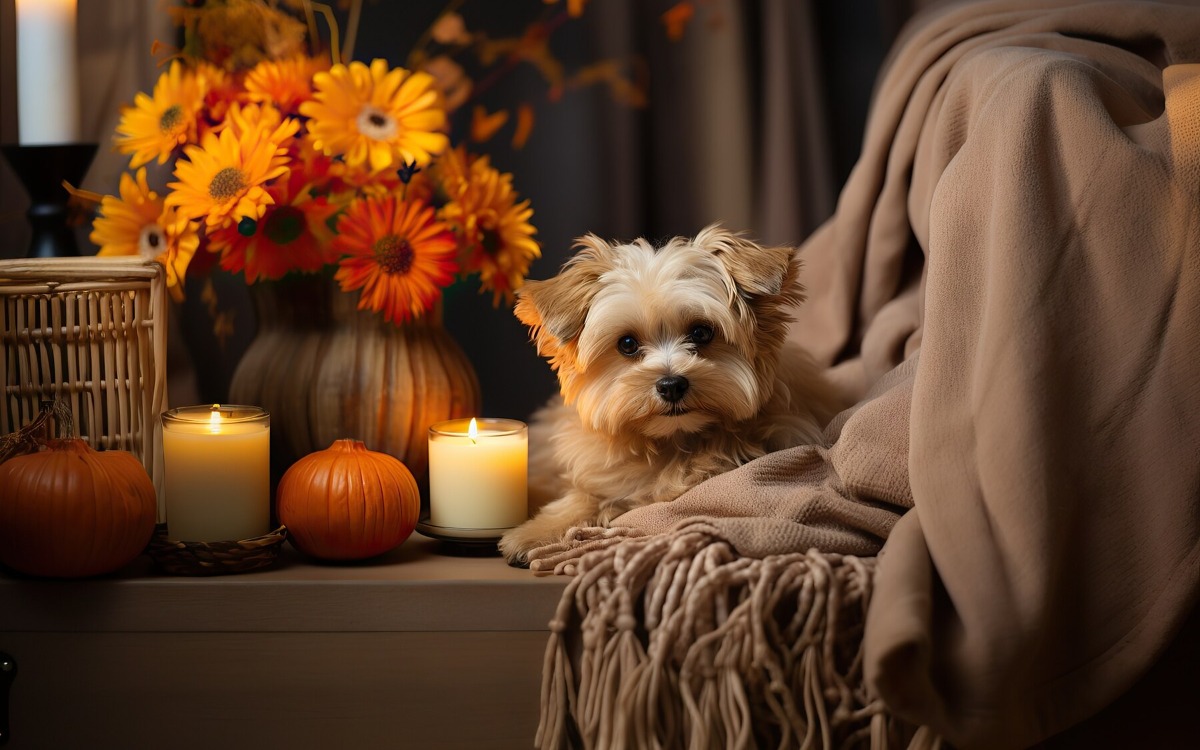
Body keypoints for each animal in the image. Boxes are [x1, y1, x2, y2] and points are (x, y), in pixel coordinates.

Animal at [496, 225, 844, 564]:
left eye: (701, 332)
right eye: (627, 344)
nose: (671, 384)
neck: (675, 440)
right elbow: (588, 493)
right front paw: (538, 531)